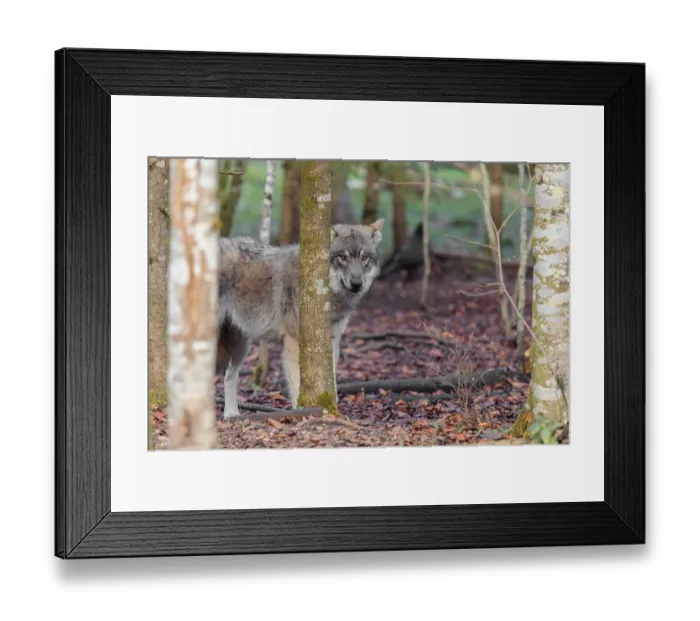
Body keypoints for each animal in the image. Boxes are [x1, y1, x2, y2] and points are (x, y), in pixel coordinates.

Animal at [217, 219, 384, 419]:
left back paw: (231, 414)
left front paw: (331, 408)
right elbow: (297, 383)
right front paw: (303, 411)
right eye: (342, 257)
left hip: (241, 345)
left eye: (364, 258)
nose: (357, 284)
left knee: (229, 375)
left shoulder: (331, 341)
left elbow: (329, 381)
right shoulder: (293, 340)